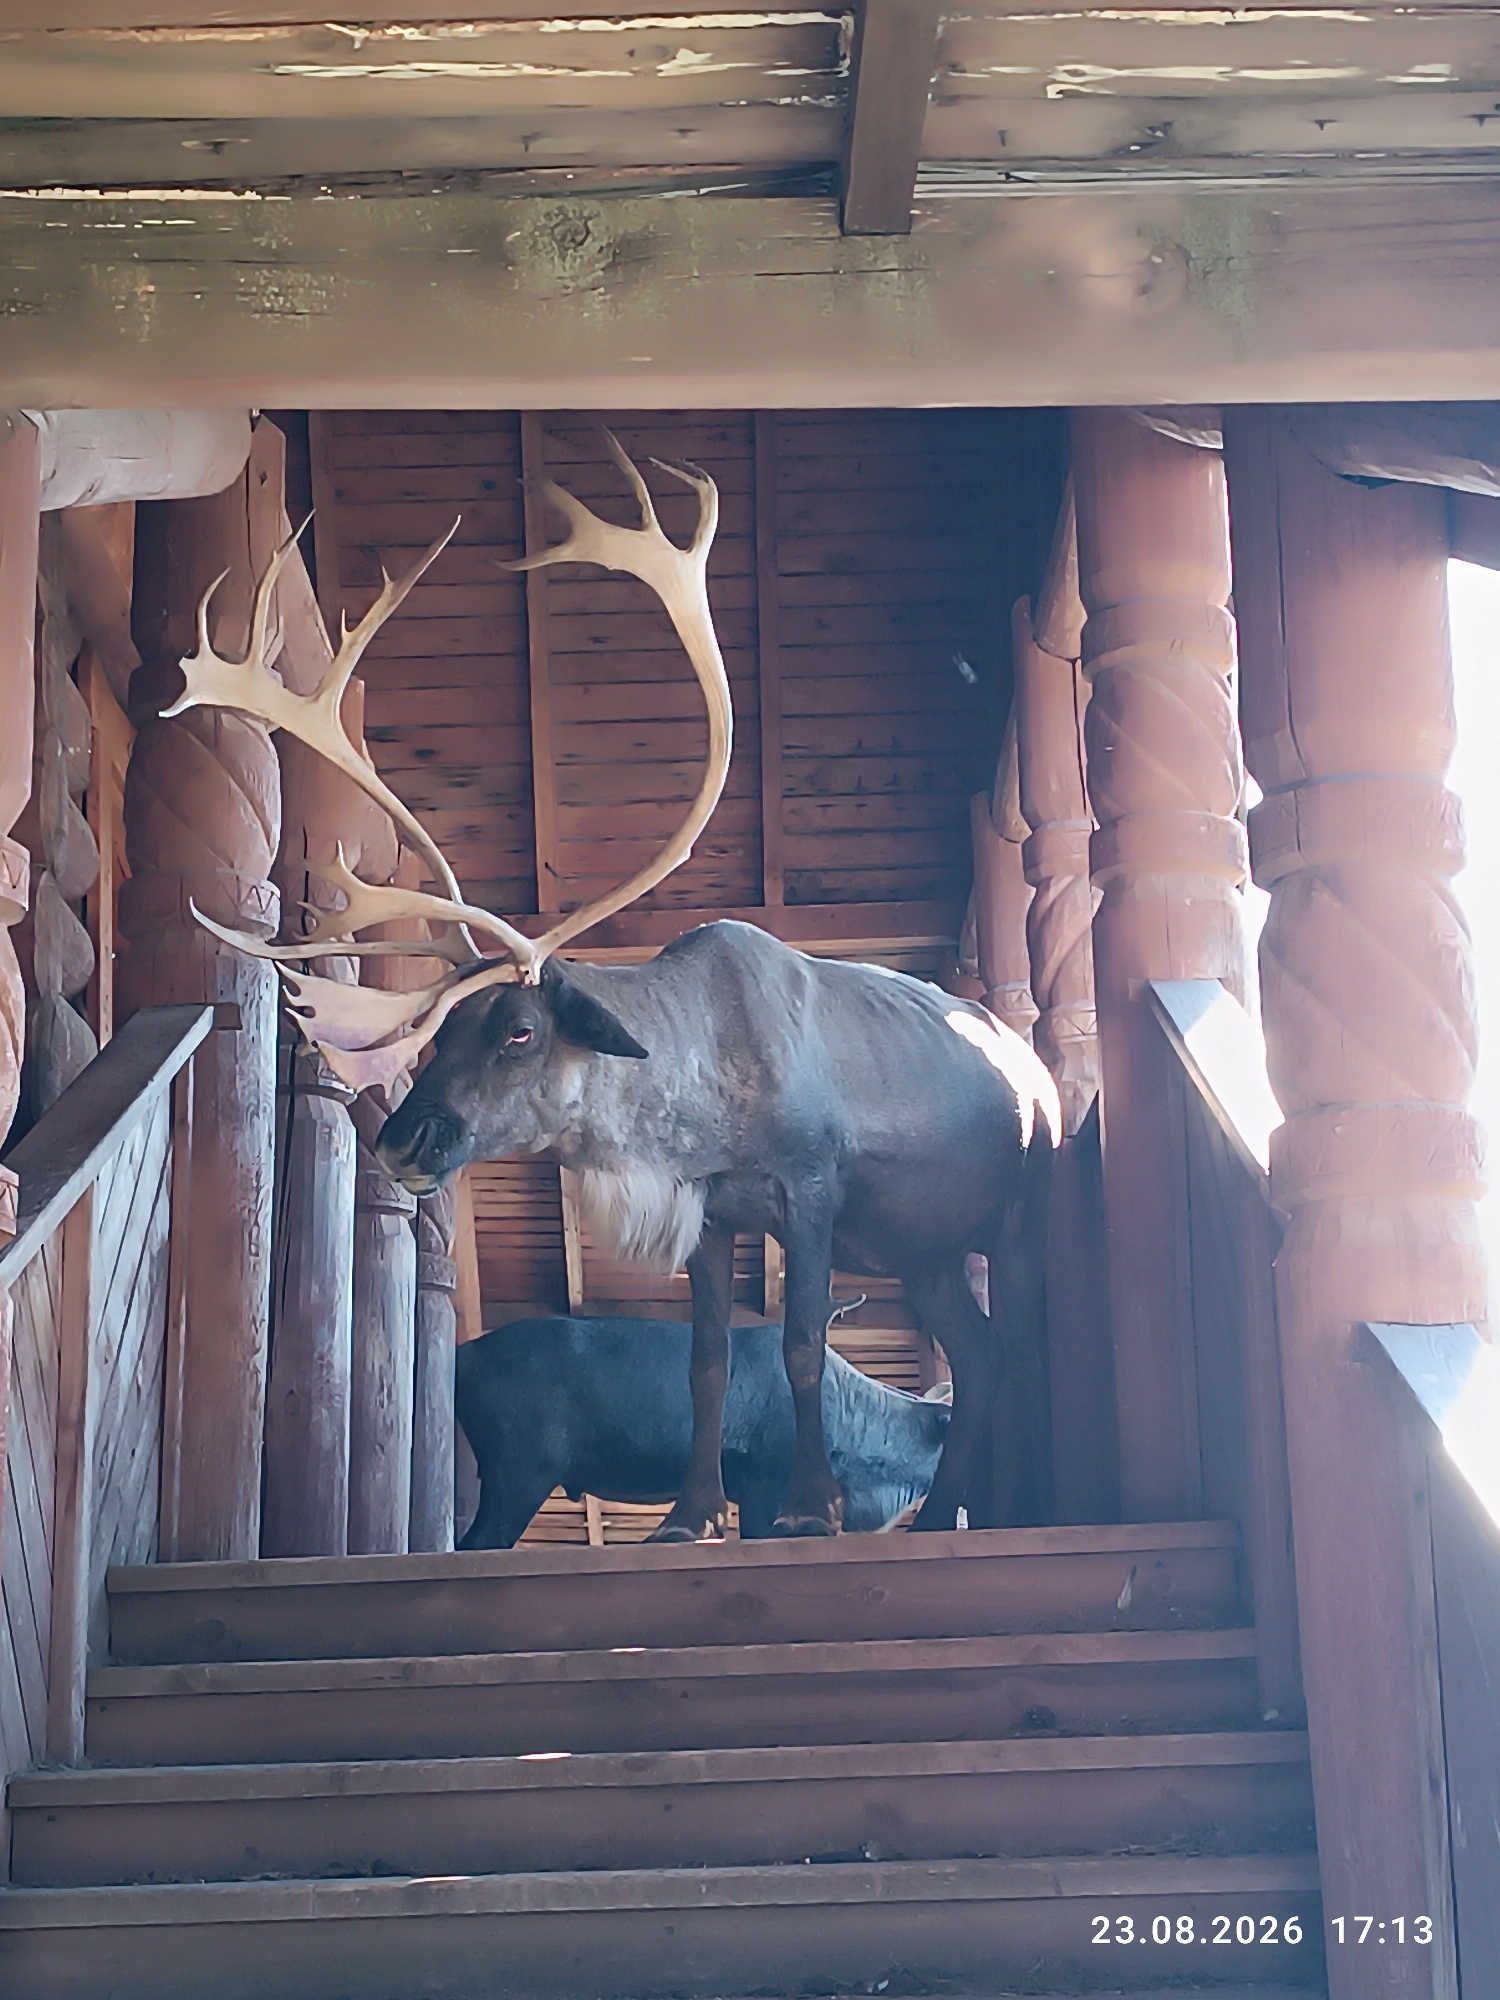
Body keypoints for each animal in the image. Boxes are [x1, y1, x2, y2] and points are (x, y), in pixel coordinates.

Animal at [166, 432, 1060, 1539]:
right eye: (438, 1030)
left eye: (517, 1028)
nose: (402, 1139)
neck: (700, 1096)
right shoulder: (717, 1210)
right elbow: (709, 1359)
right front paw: (685, 1514)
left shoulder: (810, 1188)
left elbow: (802, 1342)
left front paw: (808, 1508)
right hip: (924, 1251)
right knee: (977, 1352)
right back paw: (941, 1516)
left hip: (1008, 1213)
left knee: (1015, 1340)